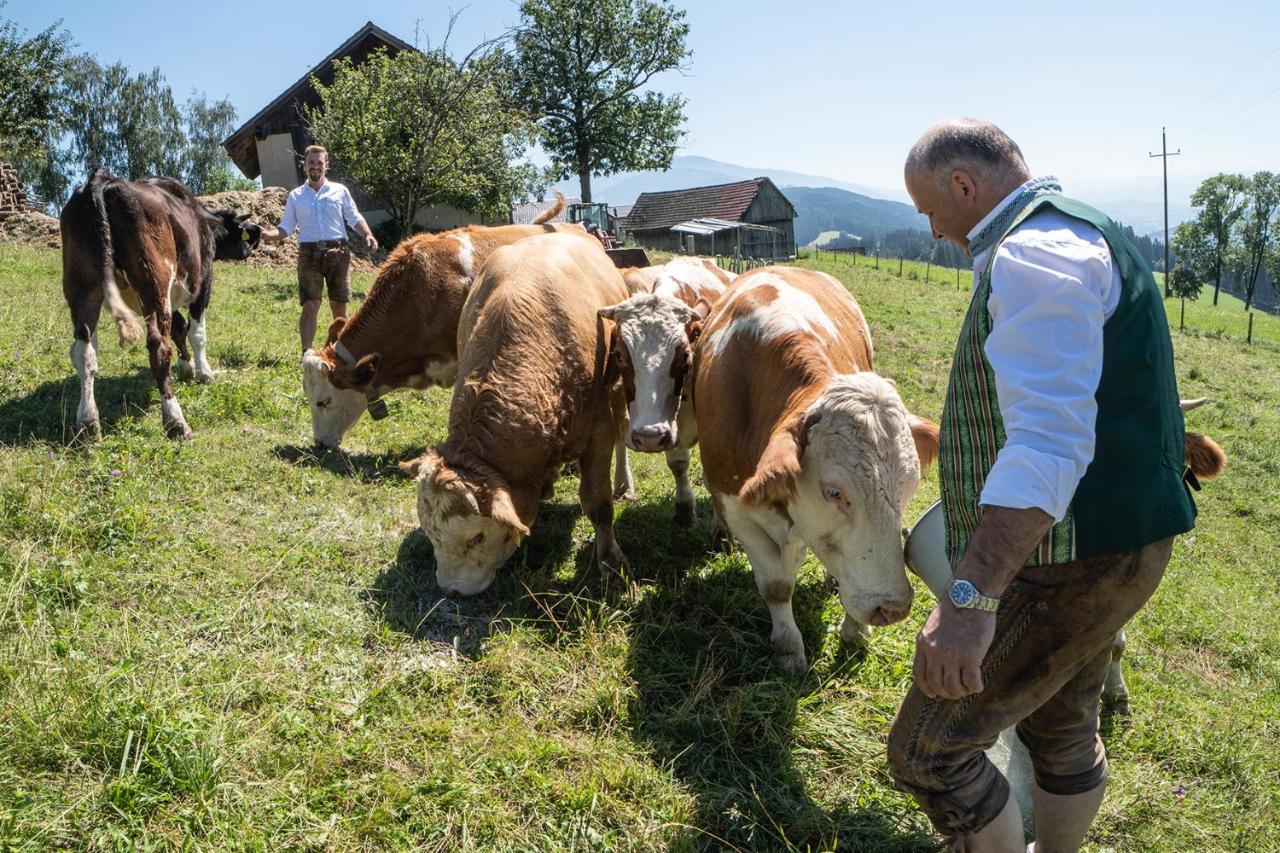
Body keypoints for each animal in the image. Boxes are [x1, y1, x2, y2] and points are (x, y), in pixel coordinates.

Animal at [60, 166, 259, 438]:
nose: (249, 251)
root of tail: (102, 180)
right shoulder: (202, 285)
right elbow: (196, 333)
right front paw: (204, 373)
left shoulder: (170, 297)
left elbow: (178, 328)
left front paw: (187, 368)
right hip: (154, 283)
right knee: (159, 347)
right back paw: (175, 420)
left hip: (82, 288)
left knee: (84, 351)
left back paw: (88, 423)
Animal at [401, 229, 632, 594]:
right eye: (431, 534)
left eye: (476, 538)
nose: (452, 589)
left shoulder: (599, 428)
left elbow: (598, 503)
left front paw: (610, 560)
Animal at [596, 252, 737, 517]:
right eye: (619, 355)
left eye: (685, 355)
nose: (649, 437)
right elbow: (678, 463)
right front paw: (684, 507)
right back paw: (624, 485)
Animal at [691, 266, 942, 671]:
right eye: (834, 492)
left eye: (909, 489)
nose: (892, 607)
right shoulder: (737, 506)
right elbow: (777, 585)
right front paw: (788, 647)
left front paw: (855, 629)